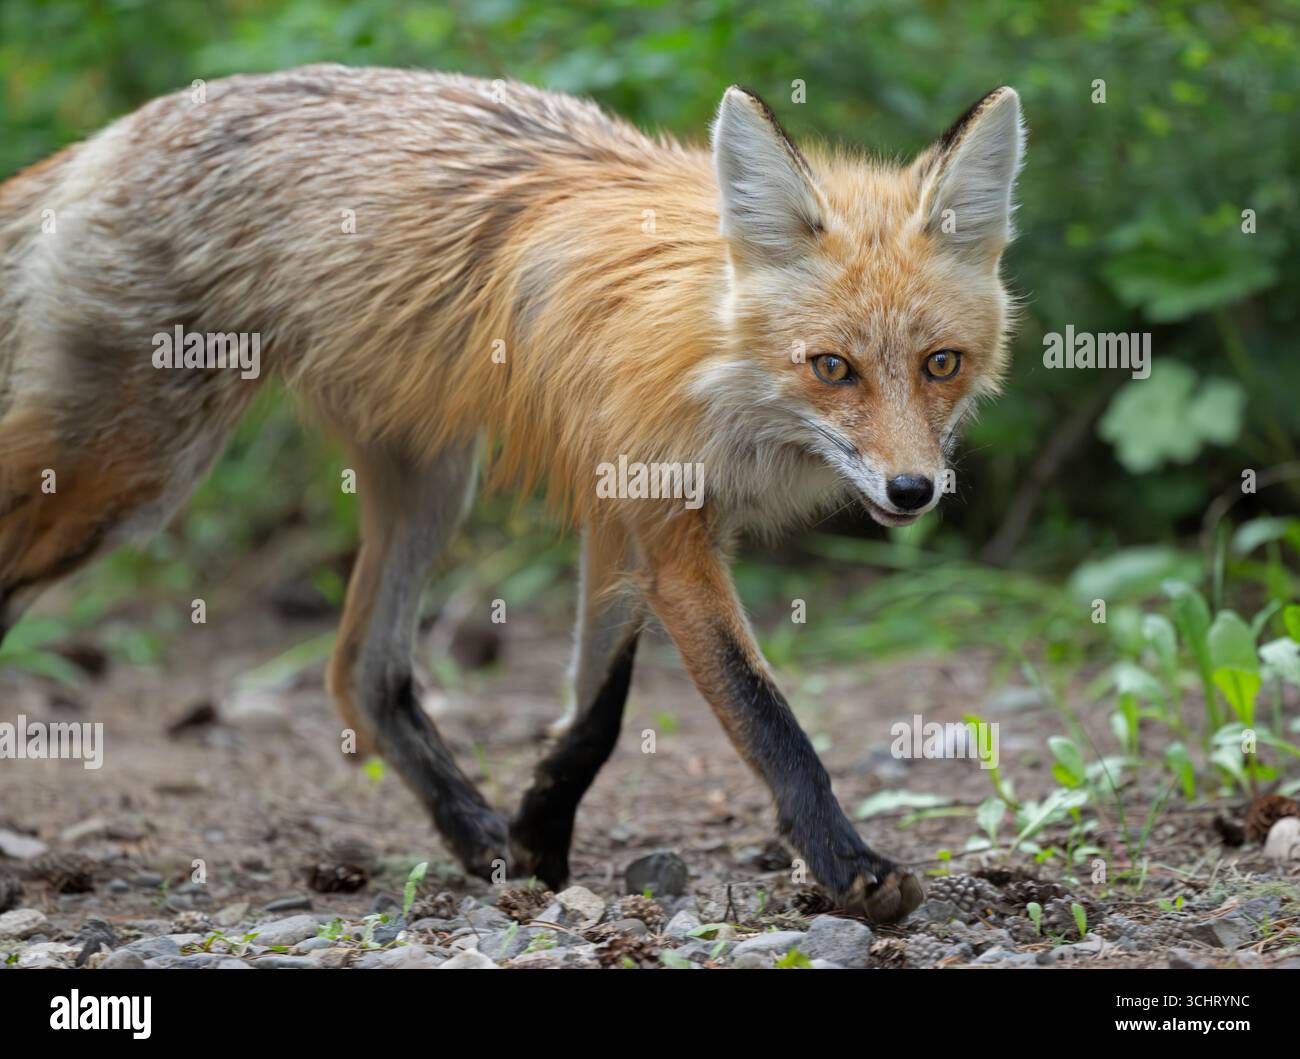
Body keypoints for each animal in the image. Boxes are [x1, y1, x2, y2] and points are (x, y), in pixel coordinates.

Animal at [0, 65, 1025, 924]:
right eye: (832, 367)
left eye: (940, 364)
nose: (912, 489)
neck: (713, 362)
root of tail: (119, 133)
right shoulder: (667, 532)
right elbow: (765, 714)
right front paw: (850, 867)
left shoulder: (624, 518)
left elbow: (595, 719)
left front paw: (536, 839)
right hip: (129, 471)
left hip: (429, 481)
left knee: (362, 673)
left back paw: (475, 834)